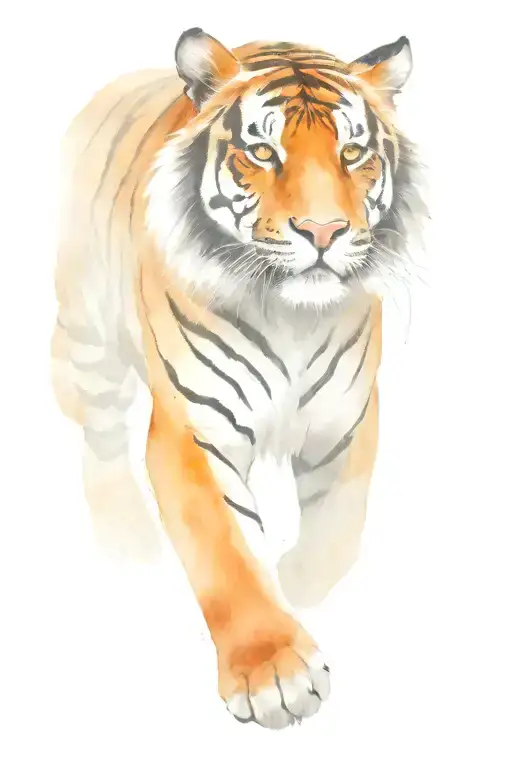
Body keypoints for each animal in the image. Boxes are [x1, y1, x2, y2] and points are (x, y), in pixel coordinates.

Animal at [51, 28, 425, 729]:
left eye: (352, 151)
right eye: (262, 151)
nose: (324, 231)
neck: (291, 317)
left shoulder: (347, 422)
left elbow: (338, 532)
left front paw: (300, 583)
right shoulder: (191, 431)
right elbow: (226, 554)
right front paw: (274, 672)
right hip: (86, 342)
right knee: (99, 442)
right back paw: (125, 539)